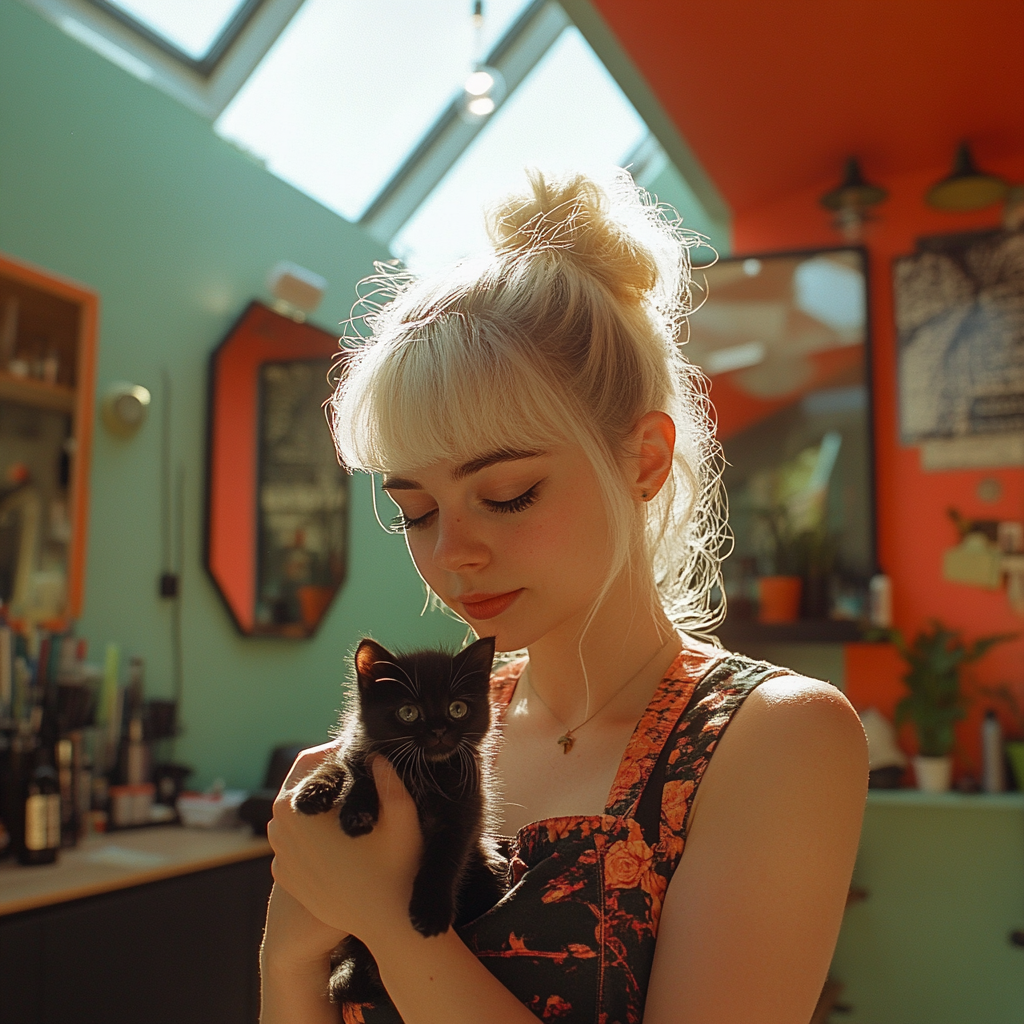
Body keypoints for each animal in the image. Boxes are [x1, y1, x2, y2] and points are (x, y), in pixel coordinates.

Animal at [292, 634, 503, 1003]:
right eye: (408, 712)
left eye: (457, 708)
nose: (438, 731)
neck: (422, 769)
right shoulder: (360, 747)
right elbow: (345, 765)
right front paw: (323, 795)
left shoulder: (466, 807)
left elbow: (445, 856)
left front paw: (430, 911)